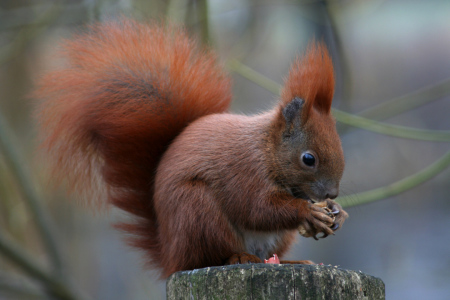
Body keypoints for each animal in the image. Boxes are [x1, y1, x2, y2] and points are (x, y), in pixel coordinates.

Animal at [36, 18, 348, 278]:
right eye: (308, 158)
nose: (332, 193)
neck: (267, 150)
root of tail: (170, 256)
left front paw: (337, 213)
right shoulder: (246, 172)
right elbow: (258, 209)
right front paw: (309, 213)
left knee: (268, 255)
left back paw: (290, 261)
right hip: (197, 212)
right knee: (209, 256)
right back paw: (238, 257)